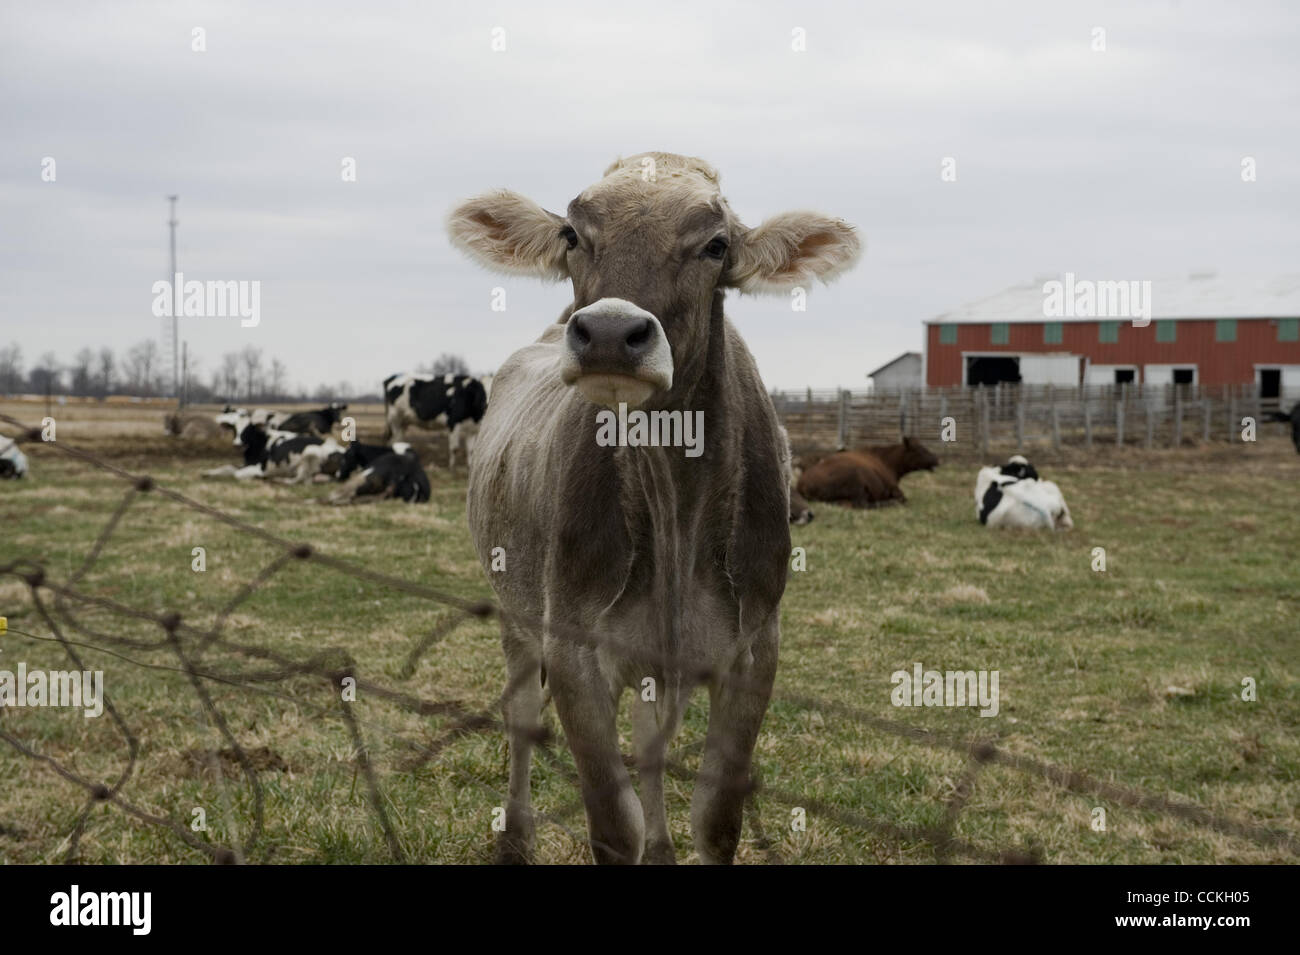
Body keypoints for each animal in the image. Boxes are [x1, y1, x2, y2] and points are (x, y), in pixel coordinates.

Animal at [447, 151, 863, 867]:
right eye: (572, 235)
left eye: (715, 245)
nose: (610, 333)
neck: (675, 507)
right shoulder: (573, 649)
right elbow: (615, 824)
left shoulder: (755, 651)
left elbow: (715, 818)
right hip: (516, 612)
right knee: (522, 715)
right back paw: (516, 837)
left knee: (648, 744)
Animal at [795, 433, 941, 509]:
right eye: (920, 449)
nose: (936, 459)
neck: (886, 460)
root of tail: (802, 482)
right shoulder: (894, 488)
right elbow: (903, 498)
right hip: (856, 480)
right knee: (862, 504)